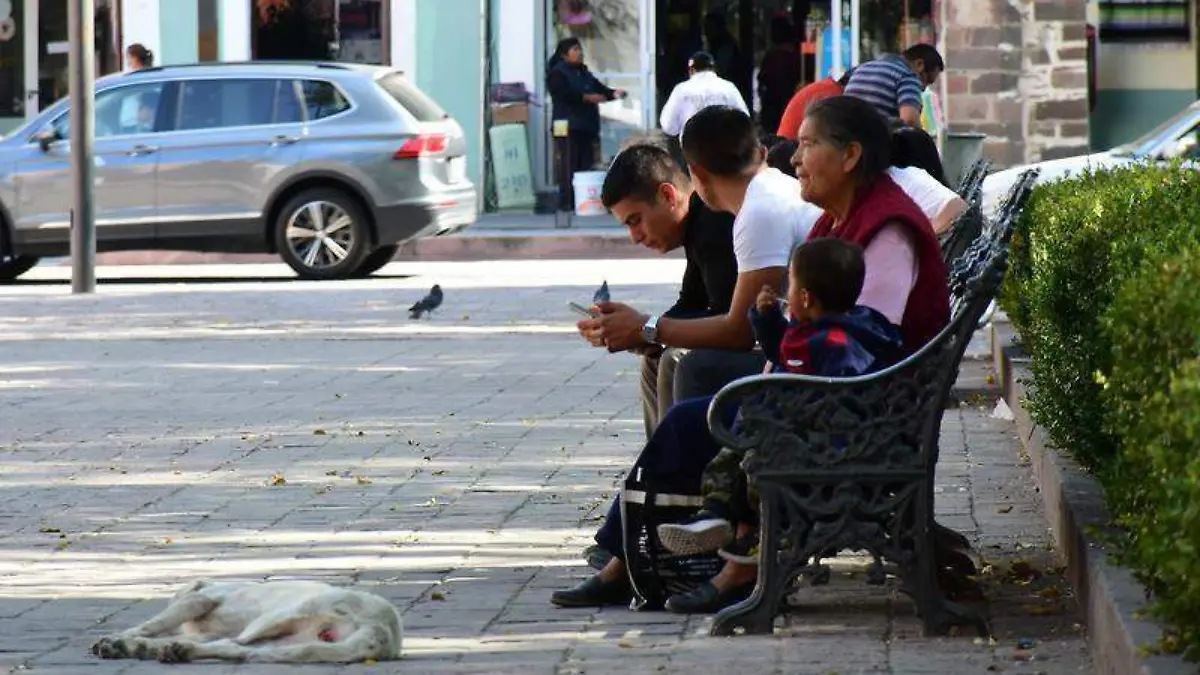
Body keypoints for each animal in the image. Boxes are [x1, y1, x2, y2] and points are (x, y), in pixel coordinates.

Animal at [88, 578, 405, 662]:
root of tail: (381, 629)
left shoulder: (199, 601)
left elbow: (148, 626)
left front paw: (123, 639)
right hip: (292, 646)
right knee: (238, 650)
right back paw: (180, 651)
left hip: (280, 616)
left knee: (236, 643)